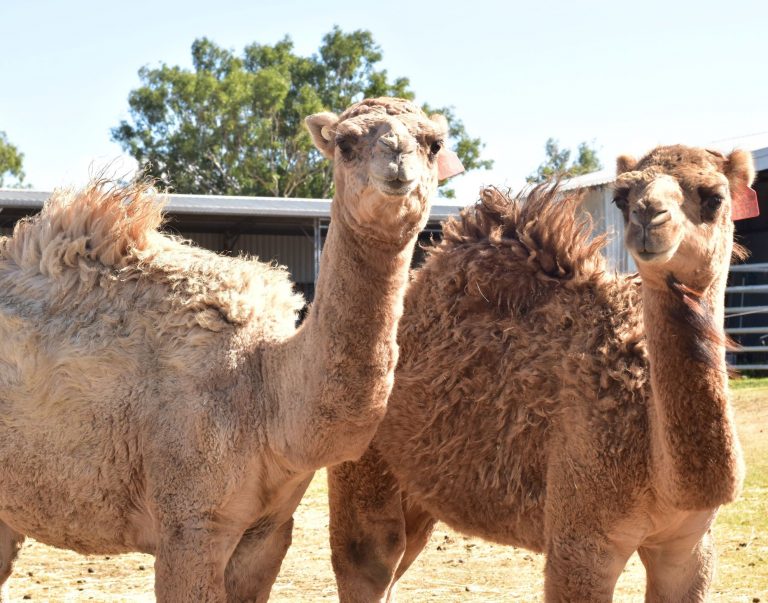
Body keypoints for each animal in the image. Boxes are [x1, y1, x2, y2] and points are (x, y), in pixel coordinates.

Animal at [0, 96, 462, 600]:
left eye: (434, 143)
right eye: (345, 143)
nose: (397, 160)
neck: (267, 390)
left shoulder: (269, 529)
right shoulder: (189, 522)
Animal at [328, 144, 752, 600]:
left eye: (714, 197)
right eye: (622, 198)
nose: (648, 217)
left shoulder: (689, 547)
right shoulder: (580, 541)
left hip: (421, 490)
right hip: (362, 457)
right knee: (370, 561)